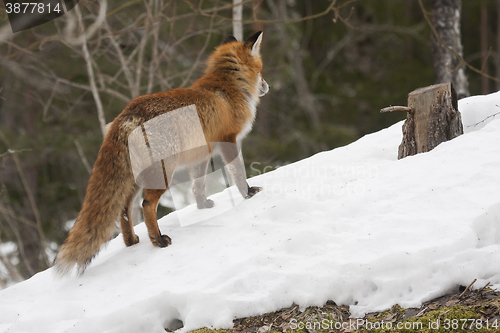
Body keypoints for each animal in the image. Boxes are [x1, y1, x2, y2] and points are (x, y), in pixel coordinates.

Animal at [53, 30, 270, 274]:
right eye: (260, 70)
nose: (267, 86)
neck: (227, 87)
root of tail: (127, 114)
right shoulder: (228, 140)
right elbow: (238, 173)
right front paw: (249, 193)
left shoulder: (201, 153)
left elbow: (198, 184)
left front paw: (202, 205)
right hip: (163, 172)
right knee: (146, 205)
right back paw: (158, 240)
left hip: (135, 178)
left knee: (124, 210)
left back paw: (132, 241)